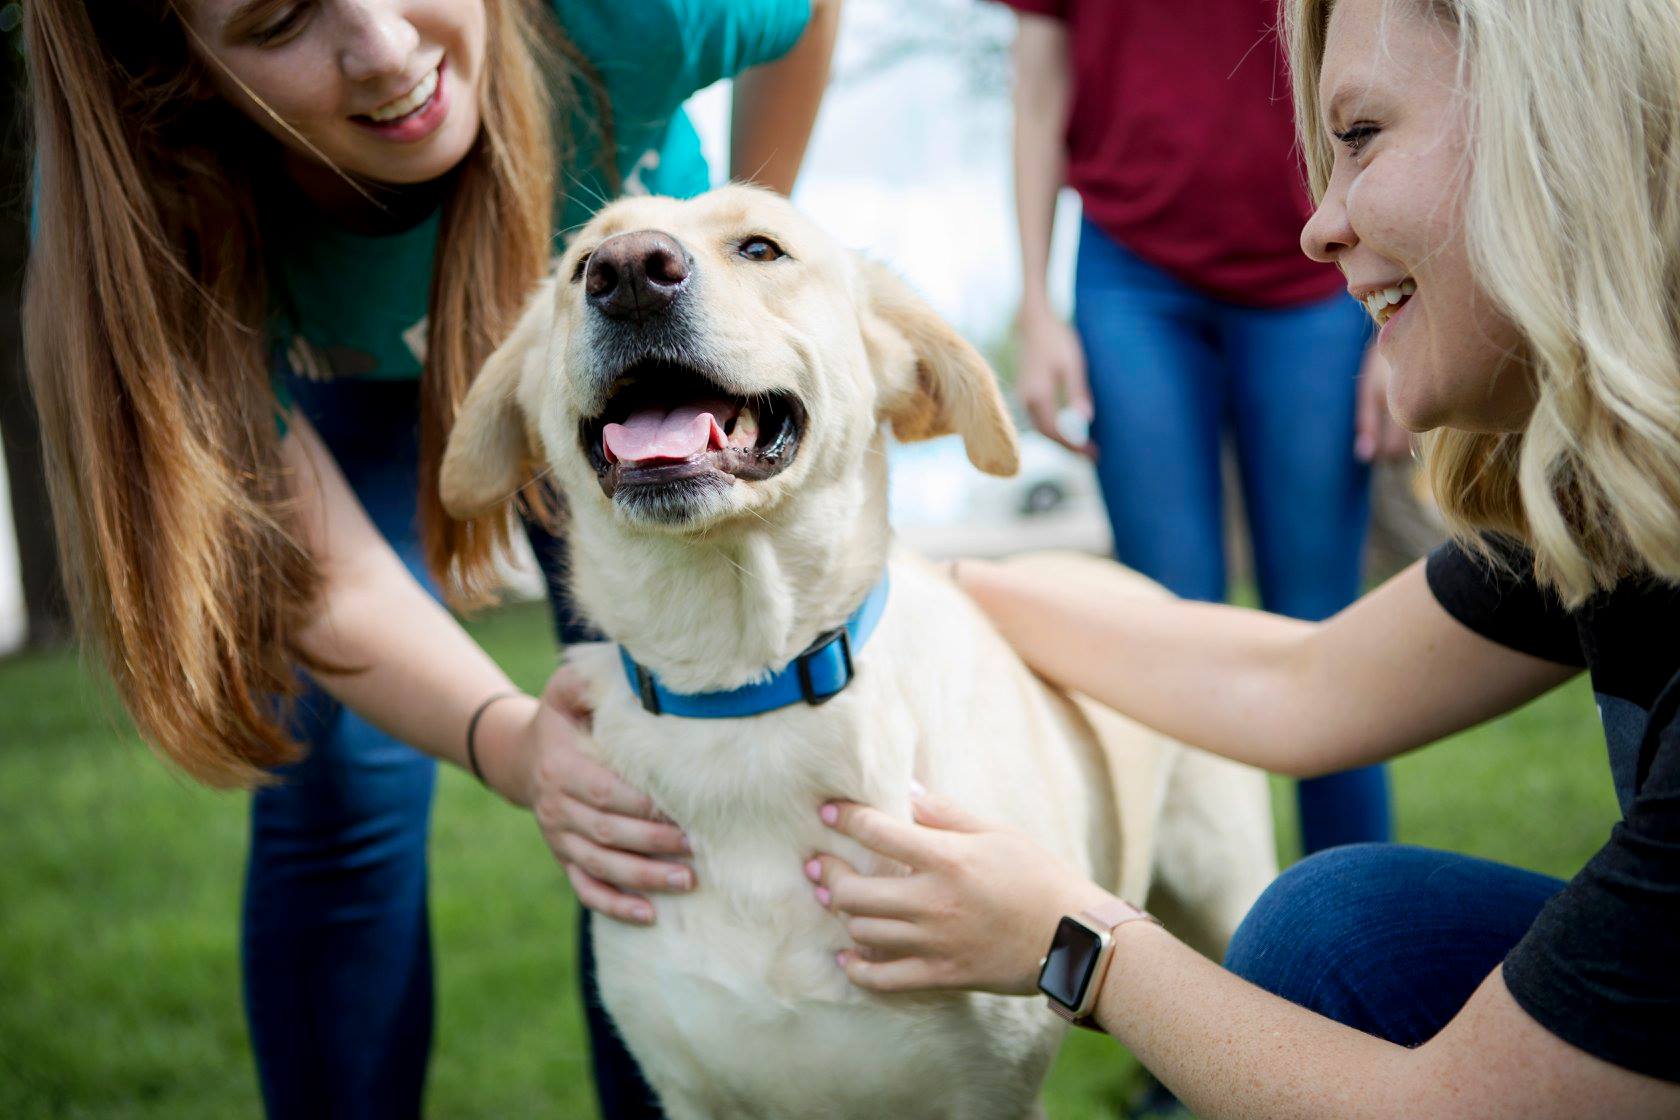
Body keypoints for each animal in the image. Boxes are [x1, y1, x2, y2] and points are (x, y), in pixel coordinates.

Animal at [436, 188, 1270, 1114]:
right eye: (582, 262)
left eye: (761, 248)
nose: (628, 274)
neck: (746, 690)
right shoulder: (688, 1090)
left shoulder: (992, 1091)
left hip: (1226, 893)